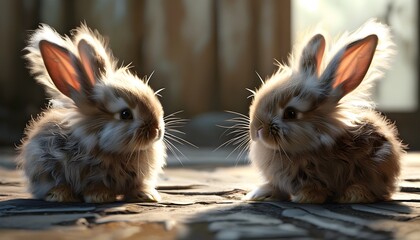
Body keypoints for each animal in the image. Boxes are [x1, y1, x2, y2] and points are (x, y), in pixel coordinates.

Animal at [17, 23, 166, 202]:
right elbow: (95, 186)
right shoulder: (91, 175)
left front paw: (147, 195)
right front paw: (100, 196)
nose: (157, 130)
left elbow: (137, 186)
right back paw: (60, 195)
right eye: (125, 114)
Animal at [244, 19, 406, 203]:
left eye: (290, 113)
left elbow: (315, 189)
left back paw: (352, 195)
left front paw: (305, 197)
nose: (256, 130)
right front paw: (259, 194)